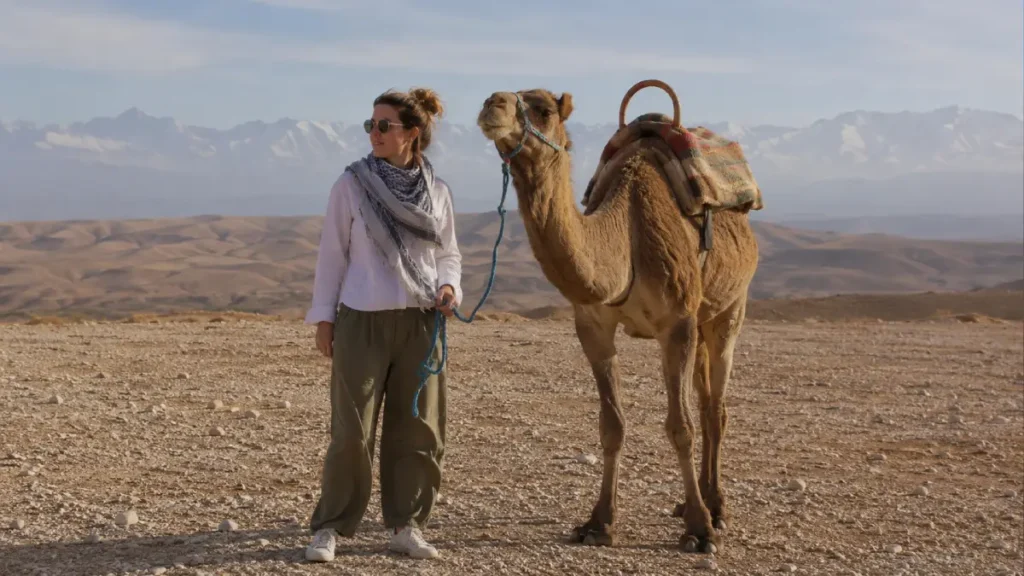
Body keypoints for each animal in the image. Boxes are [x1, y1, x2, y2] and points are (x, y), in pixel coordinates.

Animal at [476, 85, 760, 553]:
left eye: (544, 109)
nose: (492, 104)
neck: (624, 241)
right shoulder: (593, 326)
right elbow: (612, 425)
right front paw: (598, 522)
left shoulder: (677, 322)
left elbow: (679, 427)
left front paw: (699, 529)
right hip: (704, 317)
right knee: (705, 402)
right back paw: (694, 500)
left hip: (731, 306)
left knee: (715, 408)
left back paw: (716, 507)